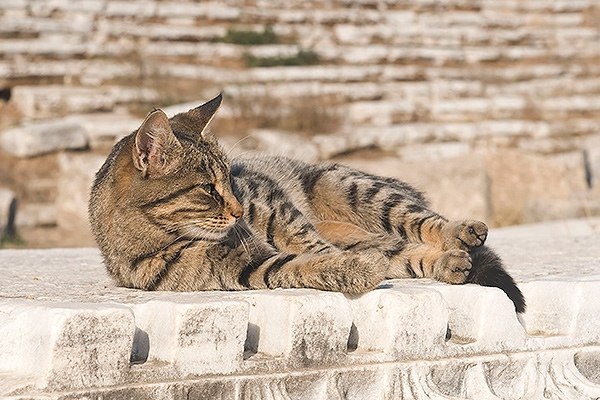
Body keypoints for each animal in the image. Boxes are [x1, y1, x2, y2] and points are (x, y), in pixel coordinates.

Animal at [89, 93, 524, 312]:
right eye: (209, 189)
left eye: (230, 179)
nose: (236, 209)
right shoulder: (241, 268)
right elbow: (298, 264)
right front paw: (348, 269)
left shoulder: (270, 203)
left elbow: (307, 242)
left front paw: (337, 259)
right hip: (369, 230)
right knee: (405, 251)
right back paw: (449, 261)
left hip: (350, 186)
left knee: (421, 222)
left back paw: (461, 232)